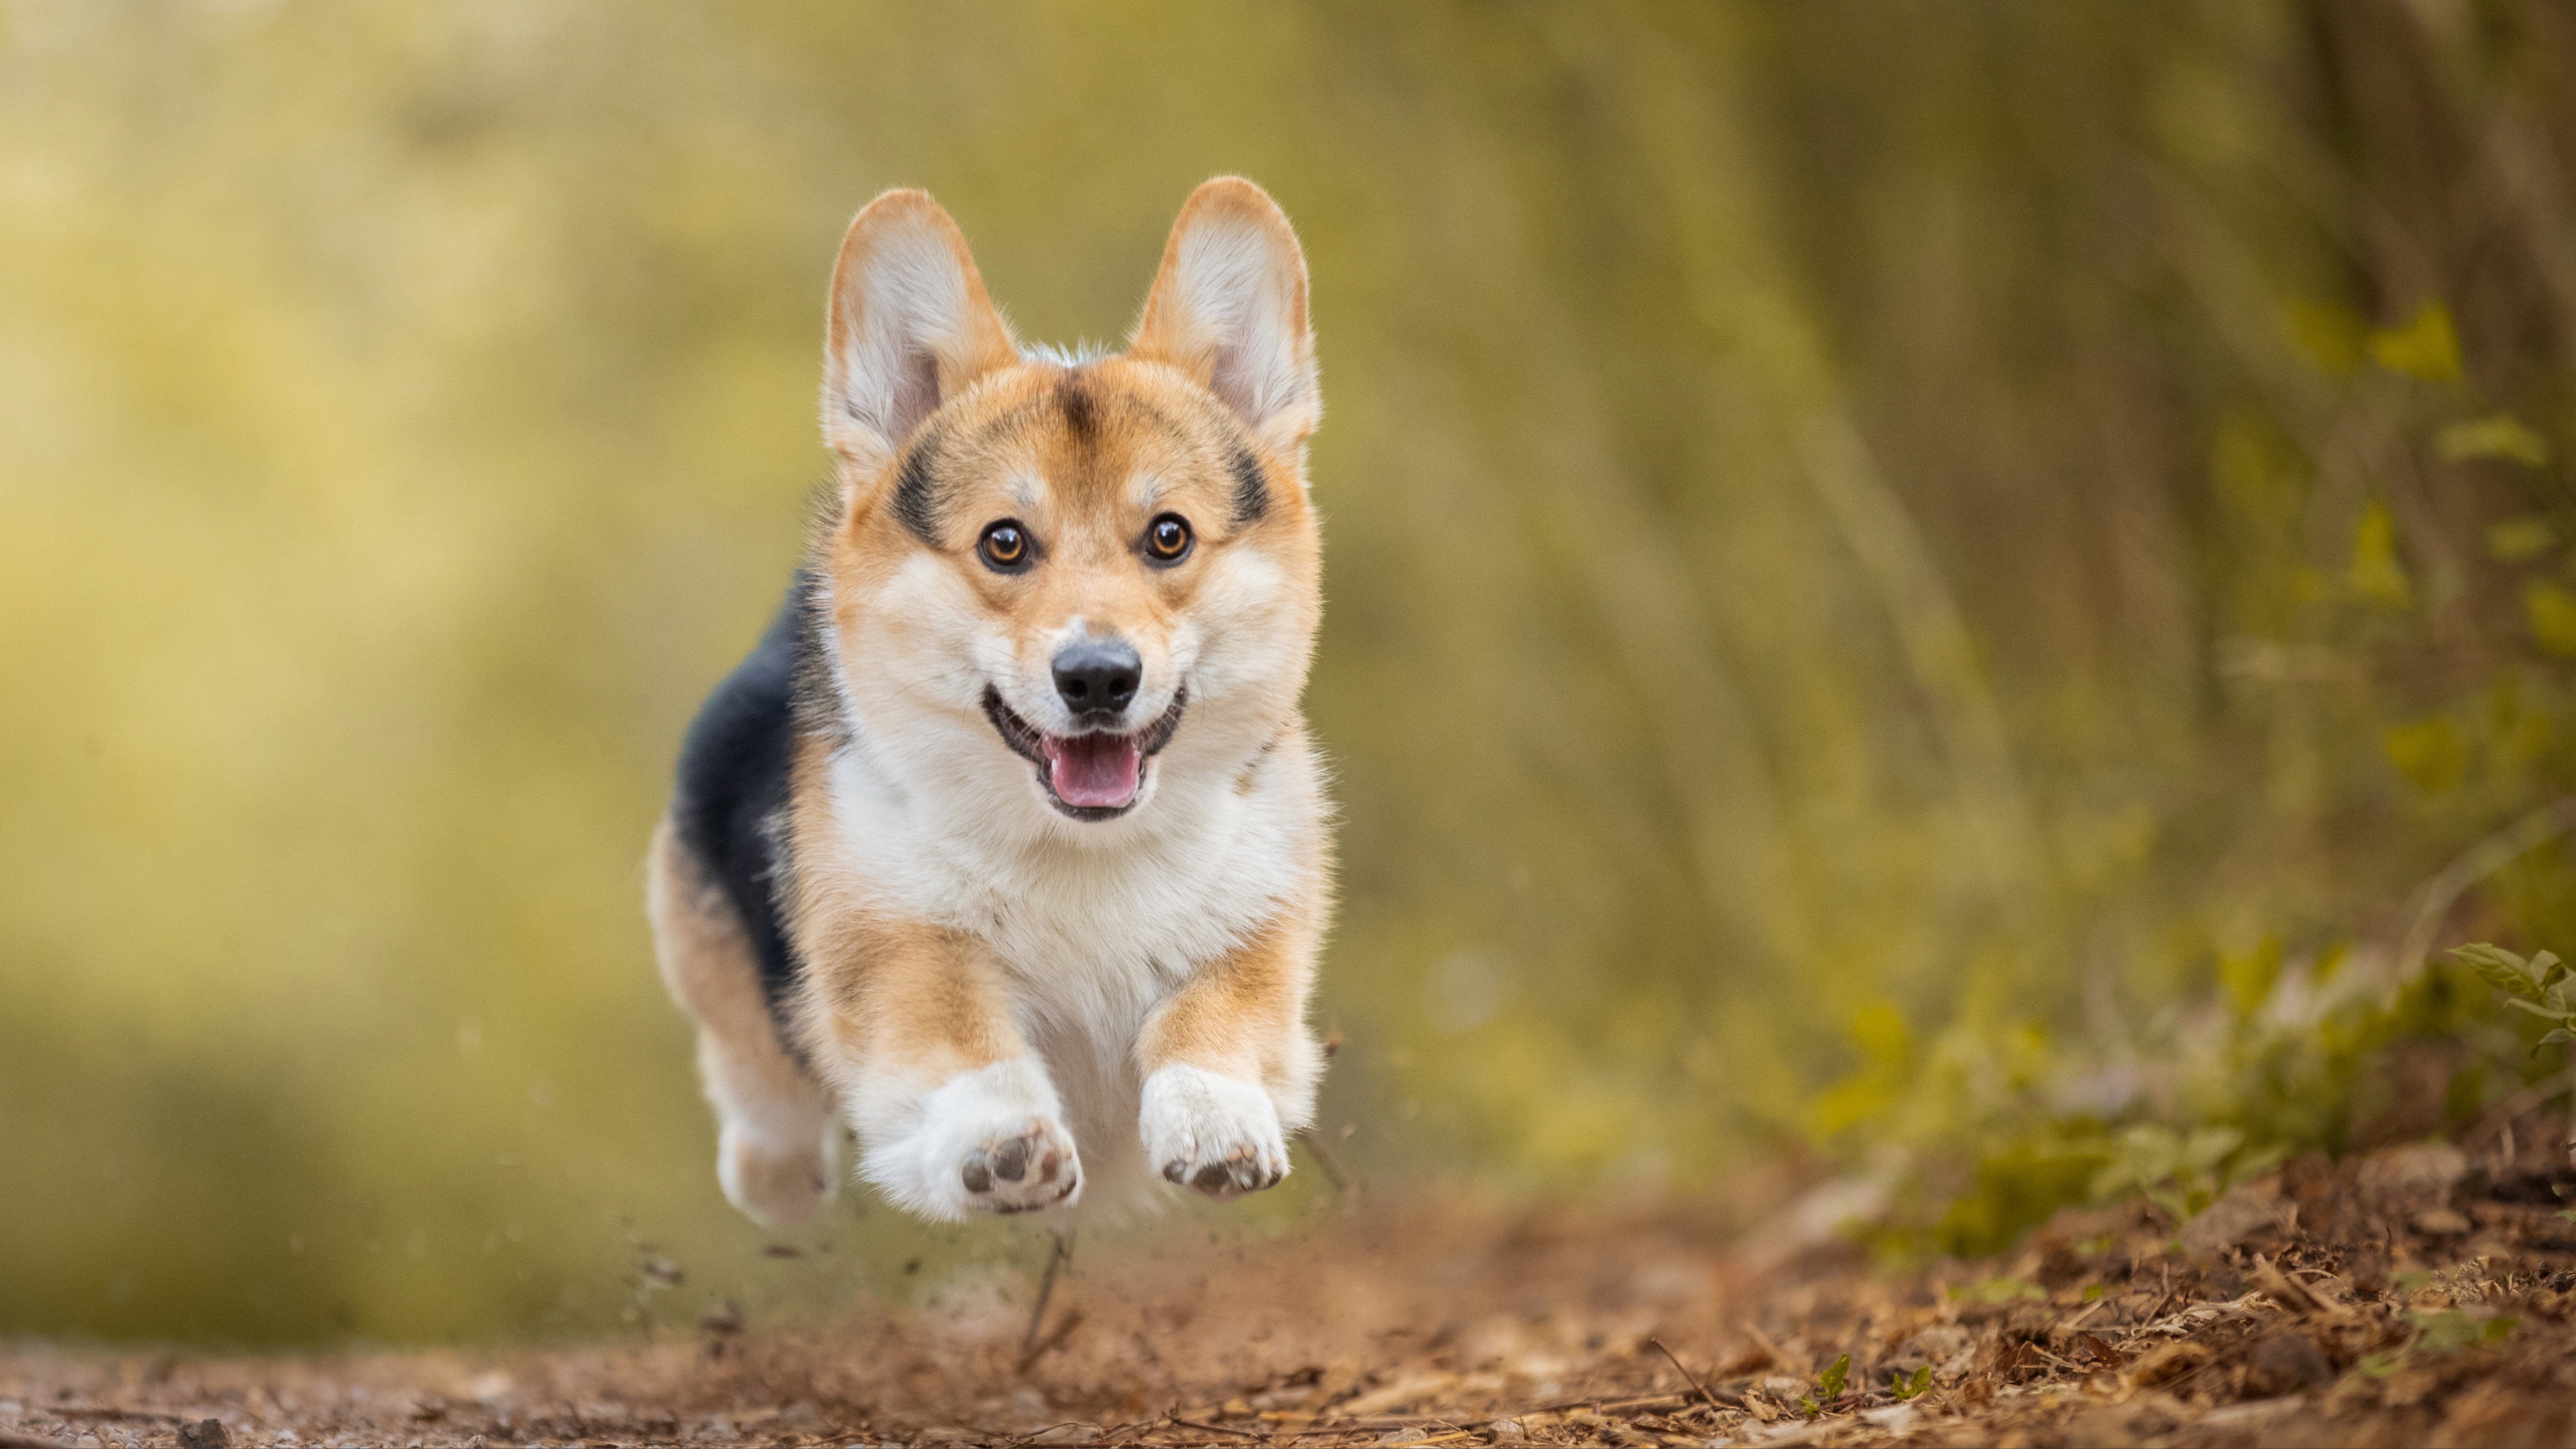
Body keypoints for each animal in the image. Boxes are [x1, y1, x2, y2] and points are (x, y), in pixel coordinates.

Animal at [644, 179, 1329, 1225]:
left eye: (1169, 535)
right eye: (1004, 543)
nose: (1099, 678)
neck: (1084, 856)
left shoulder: (1263, 915)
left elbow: (1218, 1006)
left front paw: (1216, 1118)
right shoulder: (891, 935)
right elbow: (953, 1024)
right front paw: (1000, 1140)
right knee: (757, 1086)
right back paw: (779, 1172)